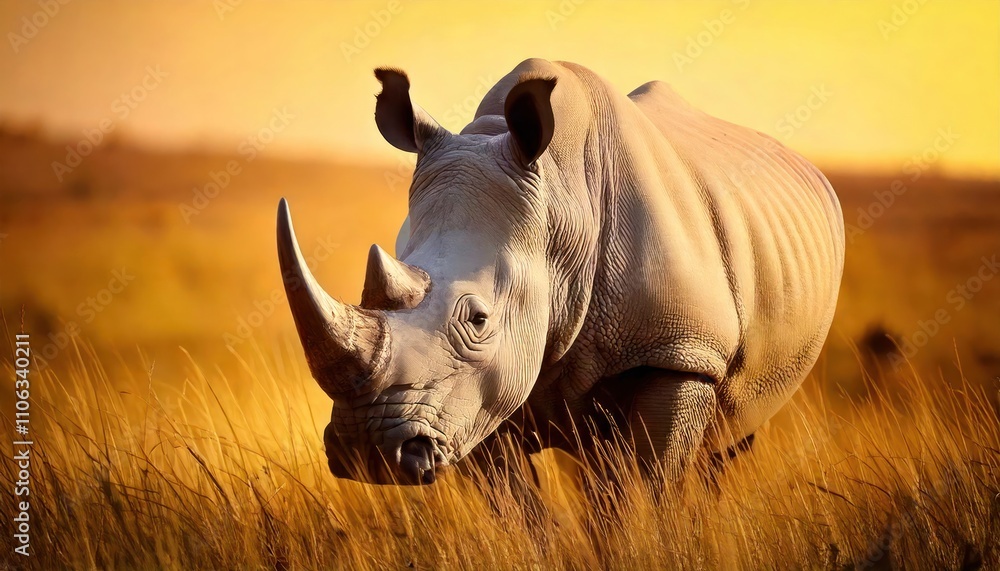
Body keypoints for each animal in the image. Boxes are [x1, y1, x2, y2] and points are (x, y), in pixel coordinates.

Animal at [277, 58, 844, 486]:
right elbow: (521, 515)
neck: (561, 202)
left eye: (478, 320)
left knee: (721, 447)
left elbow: (652, 490)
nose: (368, 449)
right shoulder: (474, 400)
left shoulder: (683, 351)